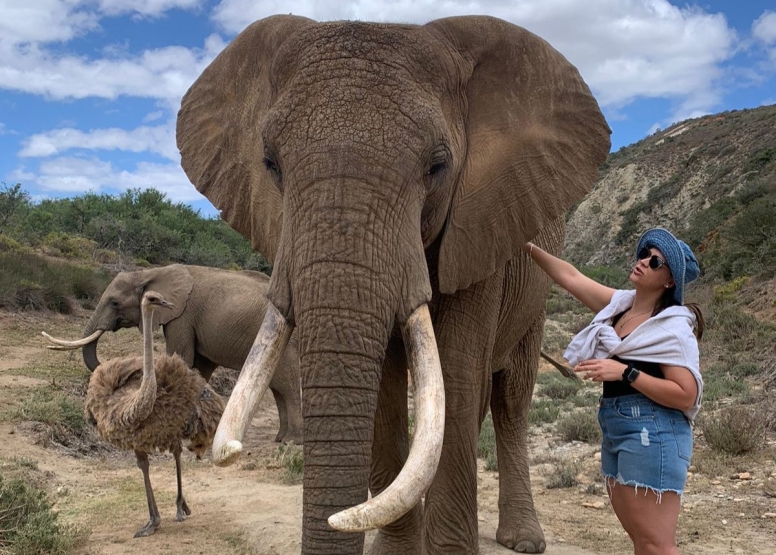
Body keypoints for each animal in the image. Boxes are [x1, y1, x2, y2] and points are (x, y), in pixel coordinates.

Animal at [42, 264, 304, 444]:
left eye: (115, 303)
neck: (150, 273)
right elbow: (200, 368)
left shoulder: (181, 317)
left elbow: (183, 359)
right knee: (278, 389)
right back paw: (280, 438)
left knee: (287, 385)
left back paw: (292, 441)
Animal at [177, 14, 612, 555]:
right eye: (270, 164)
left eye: (438, 166)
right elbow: (386, 391)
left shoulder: (478, 231)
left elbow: (456, 376)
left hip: (534, 295)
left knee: (510, 397)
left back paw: (523, 540)